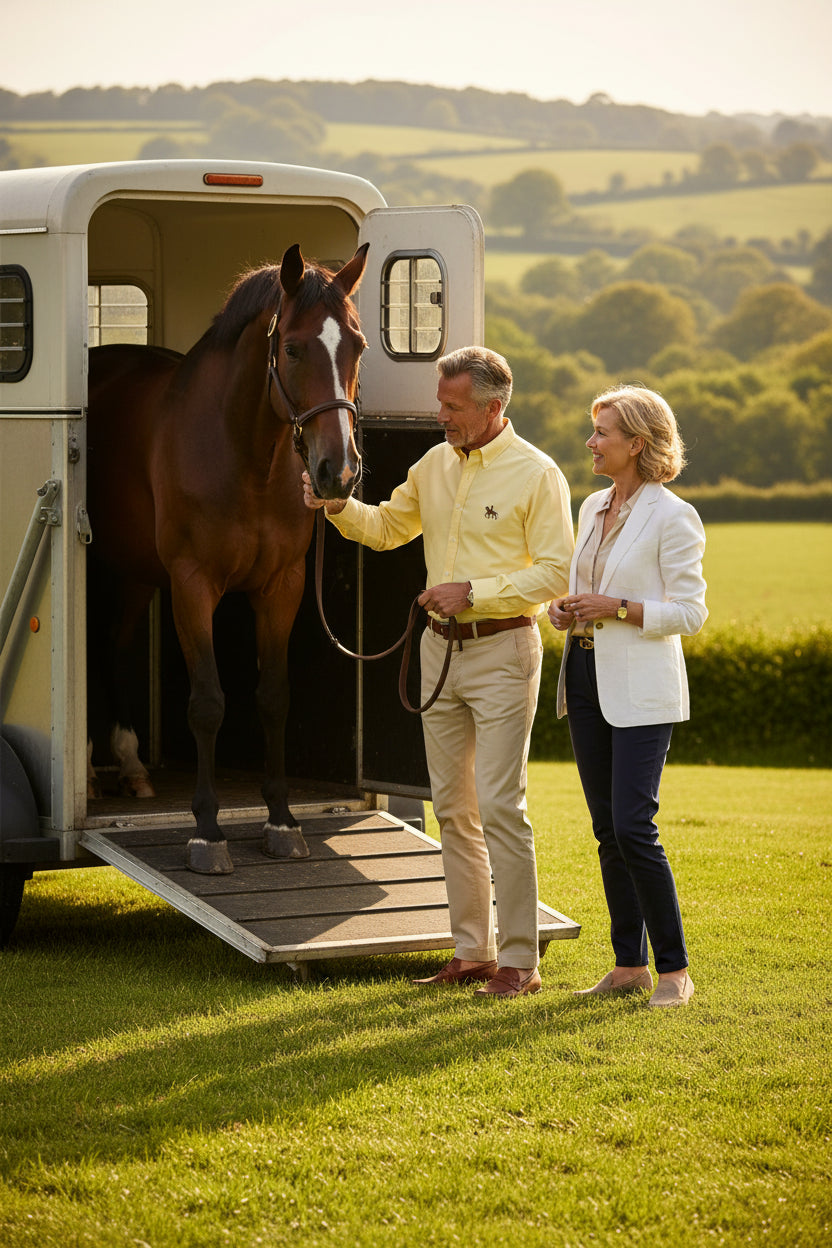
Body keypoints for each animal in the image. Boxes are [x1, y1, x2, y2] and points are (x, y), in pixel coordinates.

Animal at [85, 242, 369, 874]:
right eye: (292, 348)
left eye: (359, 345)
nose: (337, 473)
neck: (245, 457)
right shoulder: (193, 584)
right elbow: (208, 703)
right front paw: (207, 832)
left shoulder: (282, 585)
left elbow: (273, 697)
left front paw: (282, 821)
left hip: (136, 574)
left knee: (115, 644)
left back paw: (132, 766)